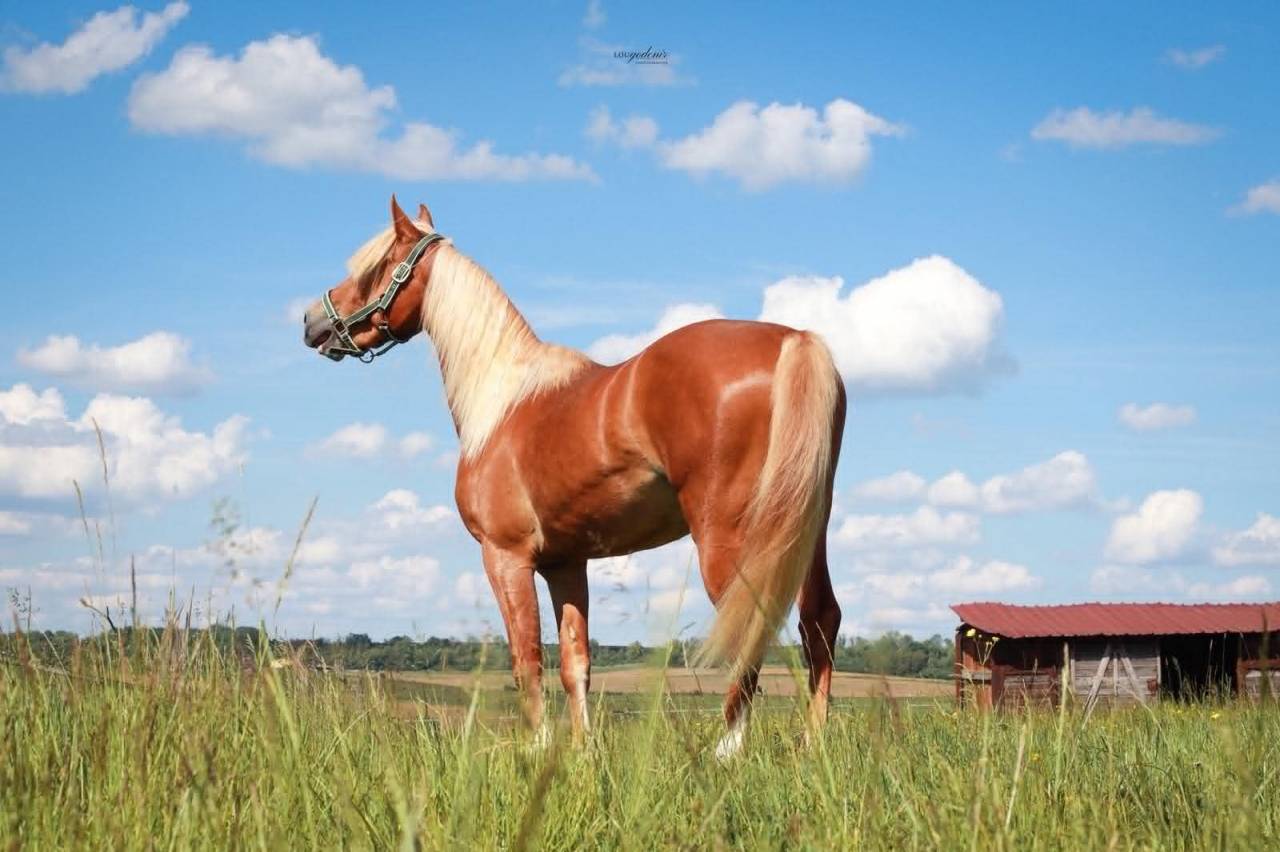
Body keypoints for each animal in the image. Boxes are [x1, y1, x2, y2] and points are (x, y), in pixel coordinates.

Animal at [302, 197, 846, 756]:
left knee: (752, 628)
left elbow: (526, 661)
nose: (312, 322)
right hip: (803, 530)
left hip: (732, 538)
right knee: (819, 621)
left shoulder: (506, 558)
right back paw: (813, 743)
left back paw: (727, 749)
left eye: (373, 269)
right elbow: (574, 663)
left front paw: (536, 747)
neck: (502, 402)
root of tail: (793, 341)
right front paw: (582, 751)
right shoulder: (565, 564)